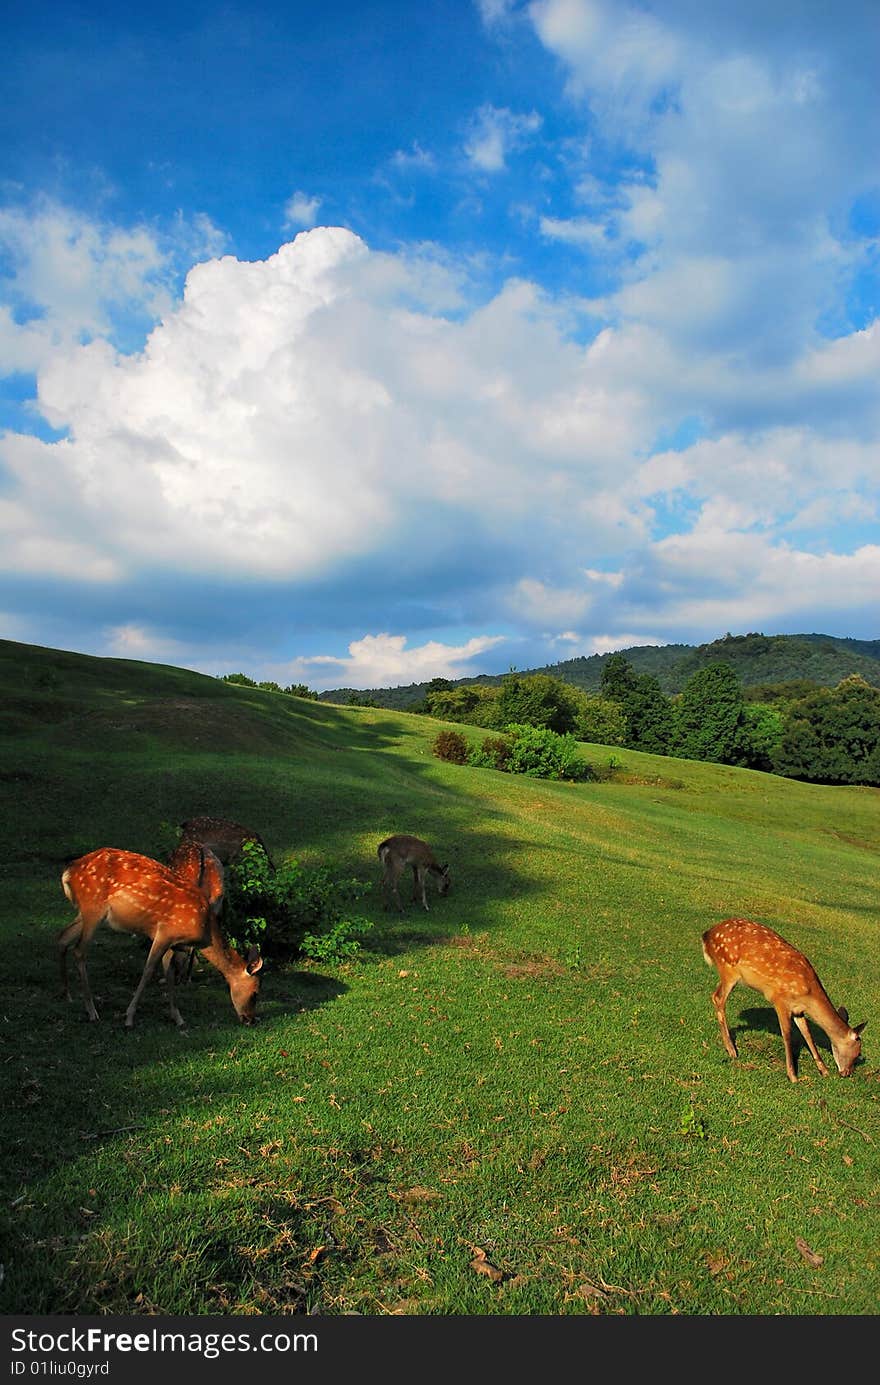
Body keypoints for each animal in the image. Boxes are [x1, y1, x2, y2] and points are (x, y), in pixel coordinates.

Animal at [59, 842, 261, 1030]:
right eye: (255, 994)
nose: (250, 1020)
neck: (205, 932)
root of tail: (70, 870)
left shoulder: (173, 942)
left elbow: (169, 972)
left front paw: (178, 1018)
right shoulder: (164, 933)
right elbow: (148, 971)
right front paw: (129, 1017)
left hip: (85, 911)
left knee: (63, 936)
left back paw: (67, 995)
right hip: (93, 906)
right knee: (79, 950)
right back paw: (92, 1011)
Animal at [701, 919, 870, 1080]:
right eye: (857, 1053)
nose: (847, 1073)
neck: (808, 993)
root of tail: (707, 935)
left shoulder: (798, 1010)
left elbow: (807, 1035)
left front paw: (824, 1070)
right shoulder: (780, 1000)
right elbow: (787, 1035)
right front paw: (793, 1076)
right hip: (729, 969)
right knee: (718, 998)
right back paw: (731, 1050)